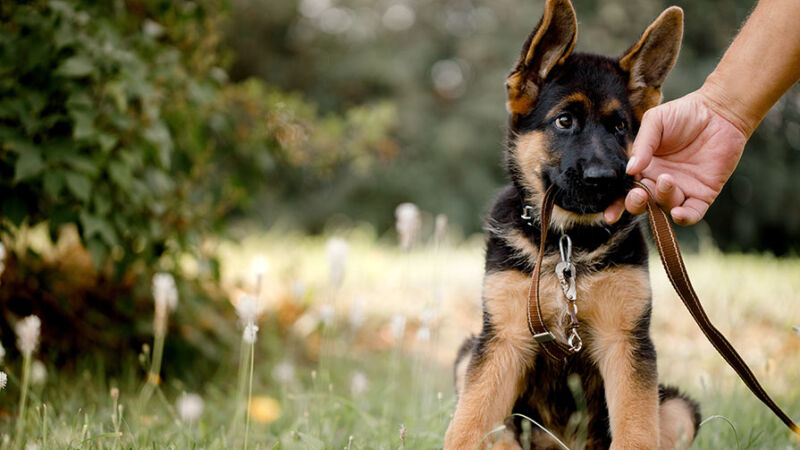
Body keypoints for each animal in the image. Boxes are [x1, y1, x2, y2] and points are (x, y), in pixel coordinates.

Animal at [446, 1, 704, 448]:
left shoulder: (626, 342)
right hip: (468, 355)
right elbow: (468, 423)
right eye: (564, 121)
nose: (603, 178)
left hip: (677, 406)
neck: (567, 243)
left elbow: (637, 429)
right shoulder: (503, 340)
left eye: (620, 127)